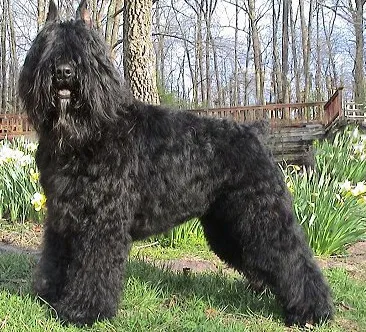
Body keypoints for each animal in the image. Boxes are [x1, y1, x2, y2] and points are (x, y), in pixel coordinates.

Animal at [19, 0, 334, 326]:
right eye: (47, 47)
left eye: (86, 49)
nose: (64, 72)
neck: (89, 133)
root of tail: (255, 132)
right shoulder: (61, 215)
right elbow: (55, 258)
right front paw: (48, 295)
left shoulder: (102, 222)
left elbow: (94, 267)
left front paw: (82, 310)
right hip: (228, 224)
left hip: (261, 214)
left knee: (292, 257)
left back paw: (312, 311)